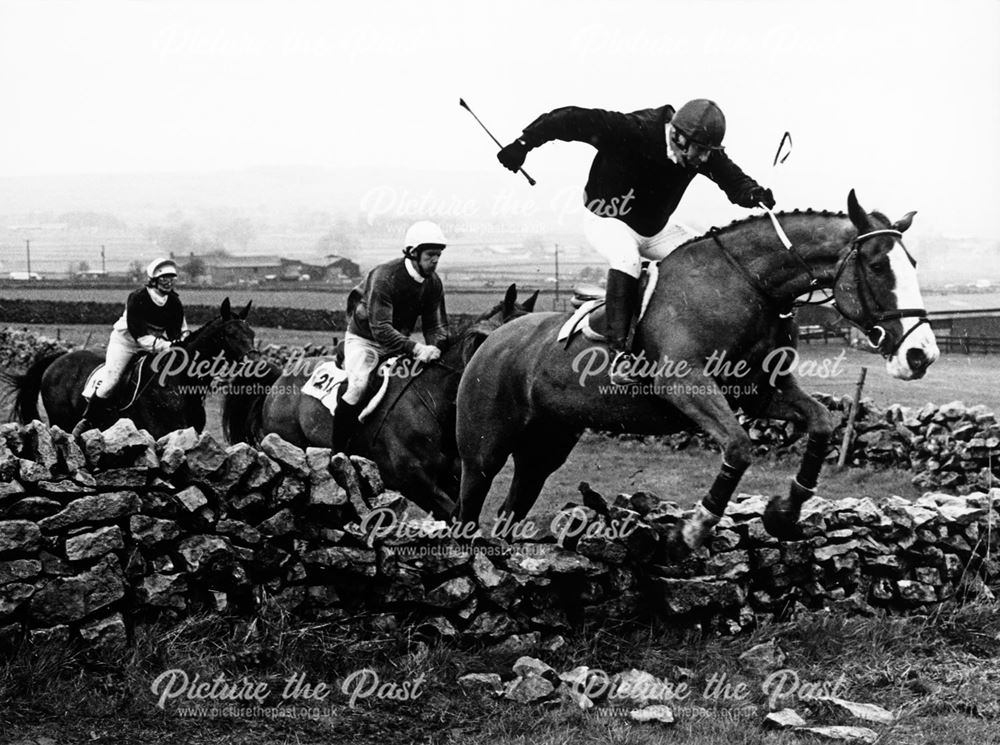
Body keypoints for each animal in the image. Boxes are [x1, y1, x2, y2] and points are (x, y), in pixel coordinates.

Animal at [458, 187, 940, 548]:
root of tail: (493, 339)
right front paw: (693, 529)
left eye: (915, 264)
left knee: (512, 506)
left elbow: (821, 421)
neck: (749, 286)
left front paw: (784, 512)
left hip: (545, 446)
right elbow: (739, 446)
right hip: (483, 454)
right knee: (468, 507)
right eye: (877, 266)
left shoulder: (761, 393)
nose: (921, 355)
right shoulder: (686, 385)